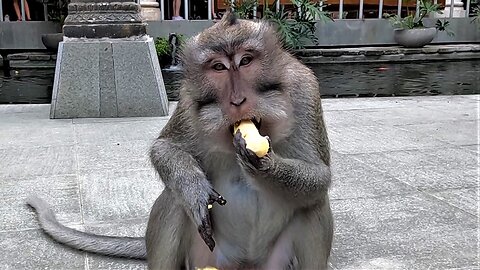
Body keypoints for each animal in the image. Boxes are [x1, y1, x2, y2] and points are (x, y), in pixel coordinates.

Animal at [26, 11, 334, 270]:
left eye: (246, 61)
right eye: (219, 67)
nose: (237, 100)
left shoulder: (304, 88)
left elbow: (320, 176)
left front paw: (263, 165)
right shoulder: (188, 96)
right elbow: (165, 148)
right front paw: (195, 190)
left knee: (313, 205)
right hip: (205, 257)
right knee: (173, 200)